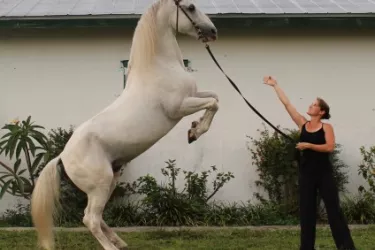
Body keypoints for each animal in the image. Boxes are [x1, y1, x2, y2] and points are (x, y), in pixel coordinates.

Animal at [30, 0, 219, 250]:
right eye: (191, 7)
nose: (212, 32)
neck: (161, 67)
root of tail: (62, 156)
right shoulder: (179, 107)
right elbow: (214, 103)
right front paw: (195, 132)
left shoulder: (192, 96)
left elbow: (215, 97)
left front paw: (194, 127)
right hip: (100, 186)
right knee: (90, 218)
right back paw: (111, 246)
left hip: (109, 182)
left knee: (96, 216)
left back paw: (119, 241)